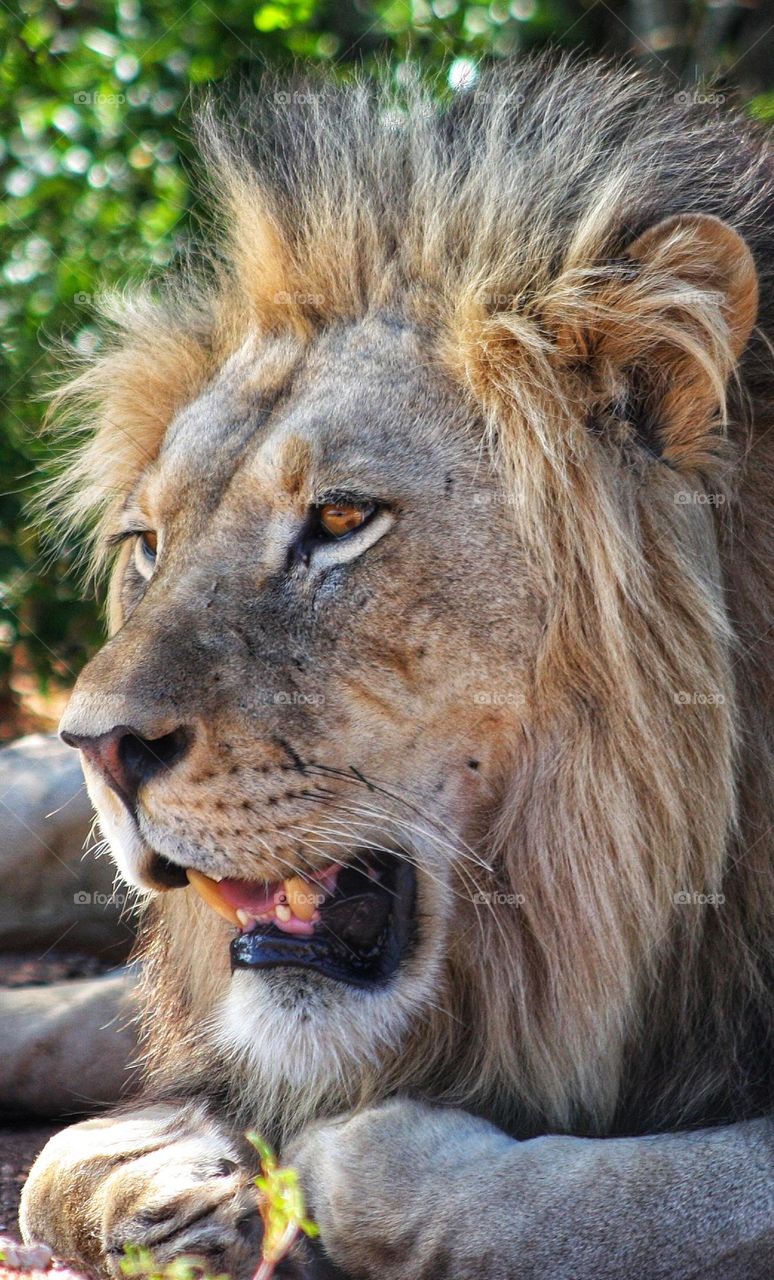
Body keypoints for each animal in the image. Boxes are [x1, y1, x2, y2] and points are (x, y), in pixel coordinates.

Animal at [19, 54, 774, 1279]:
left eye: (339, 519)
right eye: (148, 545)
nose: (96, 747)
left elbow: (645, 1194)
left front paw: (307, 1168)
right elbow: (63, 1162)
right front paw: (164, 1174)